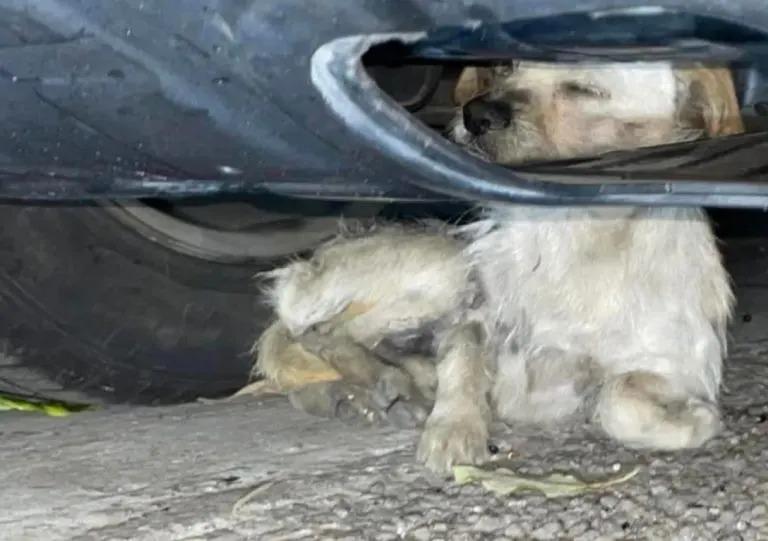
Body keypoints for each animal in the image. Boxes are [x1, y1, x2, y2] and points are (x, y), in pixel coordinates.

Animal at [254, 60, 744, 472]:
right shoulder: (475, 317)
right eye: (502, 65)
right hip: (447, 266)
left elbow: (618, 399)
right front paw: (454, 426)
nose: (476, 114)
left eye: (584, 88)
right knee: (315, 331)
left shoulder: (677, 367)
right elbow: (463, 358)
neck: (576, 237)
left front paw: (695, 419)